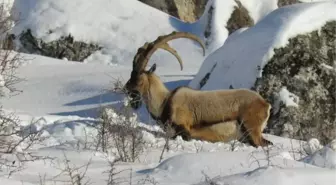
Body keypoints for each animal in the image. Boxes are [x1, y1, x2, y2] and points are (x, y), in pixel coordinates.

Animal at [123, 31, 272, 147]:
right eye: (131, 74)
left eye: (139, 79)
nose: (125, 89)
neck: (165, 101)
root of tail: (265, 104)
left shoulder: (184, 128)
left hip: (251, 128)